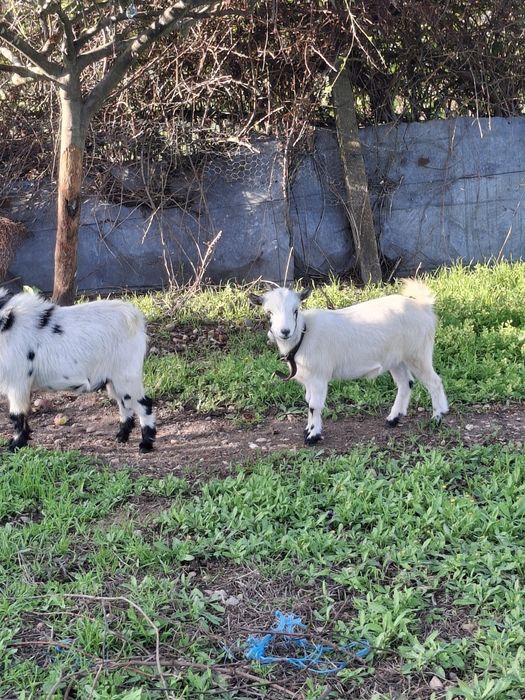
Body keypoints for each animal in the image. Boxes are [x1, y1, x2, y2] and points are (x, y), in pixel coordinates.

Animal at [0, 289, 156, 452]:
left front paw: (15, 445)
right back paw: (121, 437)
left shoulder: (17, 381)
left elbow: (17, 415)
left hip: (127, 375)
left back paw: (146, 444)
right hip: (114, 379)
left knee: (144, 403)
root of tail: (134, 317)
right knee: (124, 404)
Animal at [250, 281, 448, 444]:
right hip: (397, 359)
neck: (302, 336)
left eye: (295, 310)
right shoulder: (309, 379)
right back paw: (393, 419)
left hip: (418, 353)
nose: (285, 331)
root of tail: (423, 306)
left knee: (434, 382)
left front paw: (313, 436)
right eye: (268, 313)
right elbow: (308, 401)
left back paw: (437, 418)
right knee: (406, 383)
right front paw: (307, 430)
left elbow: (314, 405)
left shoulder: (319, 377)